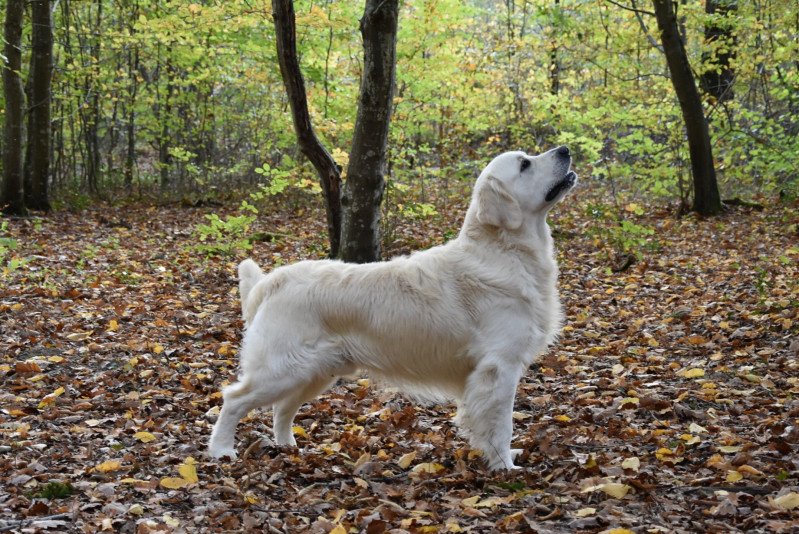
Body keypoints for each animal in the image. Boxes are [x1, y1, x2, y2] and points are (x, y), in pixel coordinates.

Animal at [209, 147, 580, 468]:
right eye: (524, 165)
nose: (564, 150)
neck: (502, 250)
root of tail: (273, 280)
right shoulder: (498, 367)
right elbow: (500, 425)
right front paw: (504, 467)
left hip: (314, 372)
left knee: (281, 410)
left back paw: (289, 447)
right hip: (281, 368)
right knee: (234, 399)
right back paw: (221, 450)